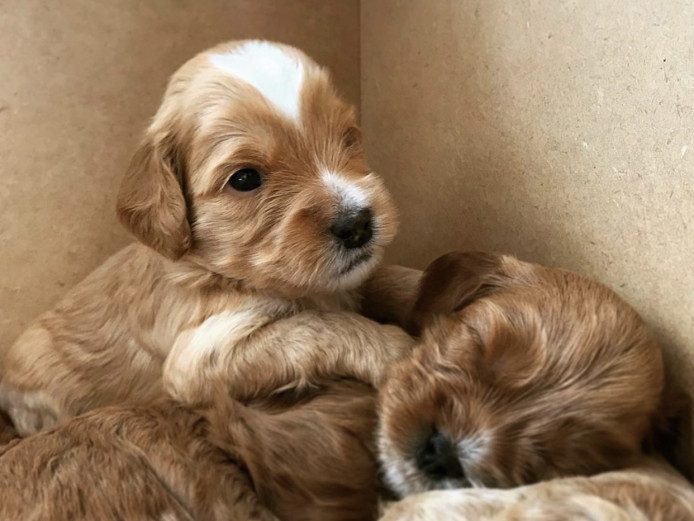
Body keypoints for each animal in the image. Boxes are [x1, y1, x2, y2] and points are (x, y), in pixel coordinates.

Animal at [0, 39, 414, 434]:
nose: (358, 224)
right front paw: (396, 351)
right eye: (245, 179)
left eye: (347, 139)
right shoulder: (202, 357)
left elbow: (387, 278)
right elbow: (320, 327)